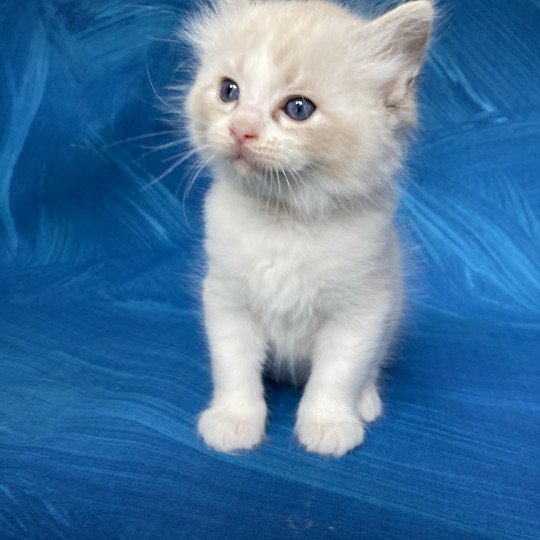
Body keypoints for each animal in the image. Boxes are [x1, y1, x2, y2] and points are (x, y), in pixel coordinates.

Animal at [184, 0, 432, 456]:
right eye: (229, 92)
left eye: (298, 109)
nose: (240, 129)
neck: (286, 220)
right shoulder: (227, 300)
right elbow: (234, 368)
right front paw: (235, 420)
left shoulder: (362, 311)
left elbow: (339, 373)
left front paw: (328, 425)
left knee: (371, 366)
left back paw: (365, 402)